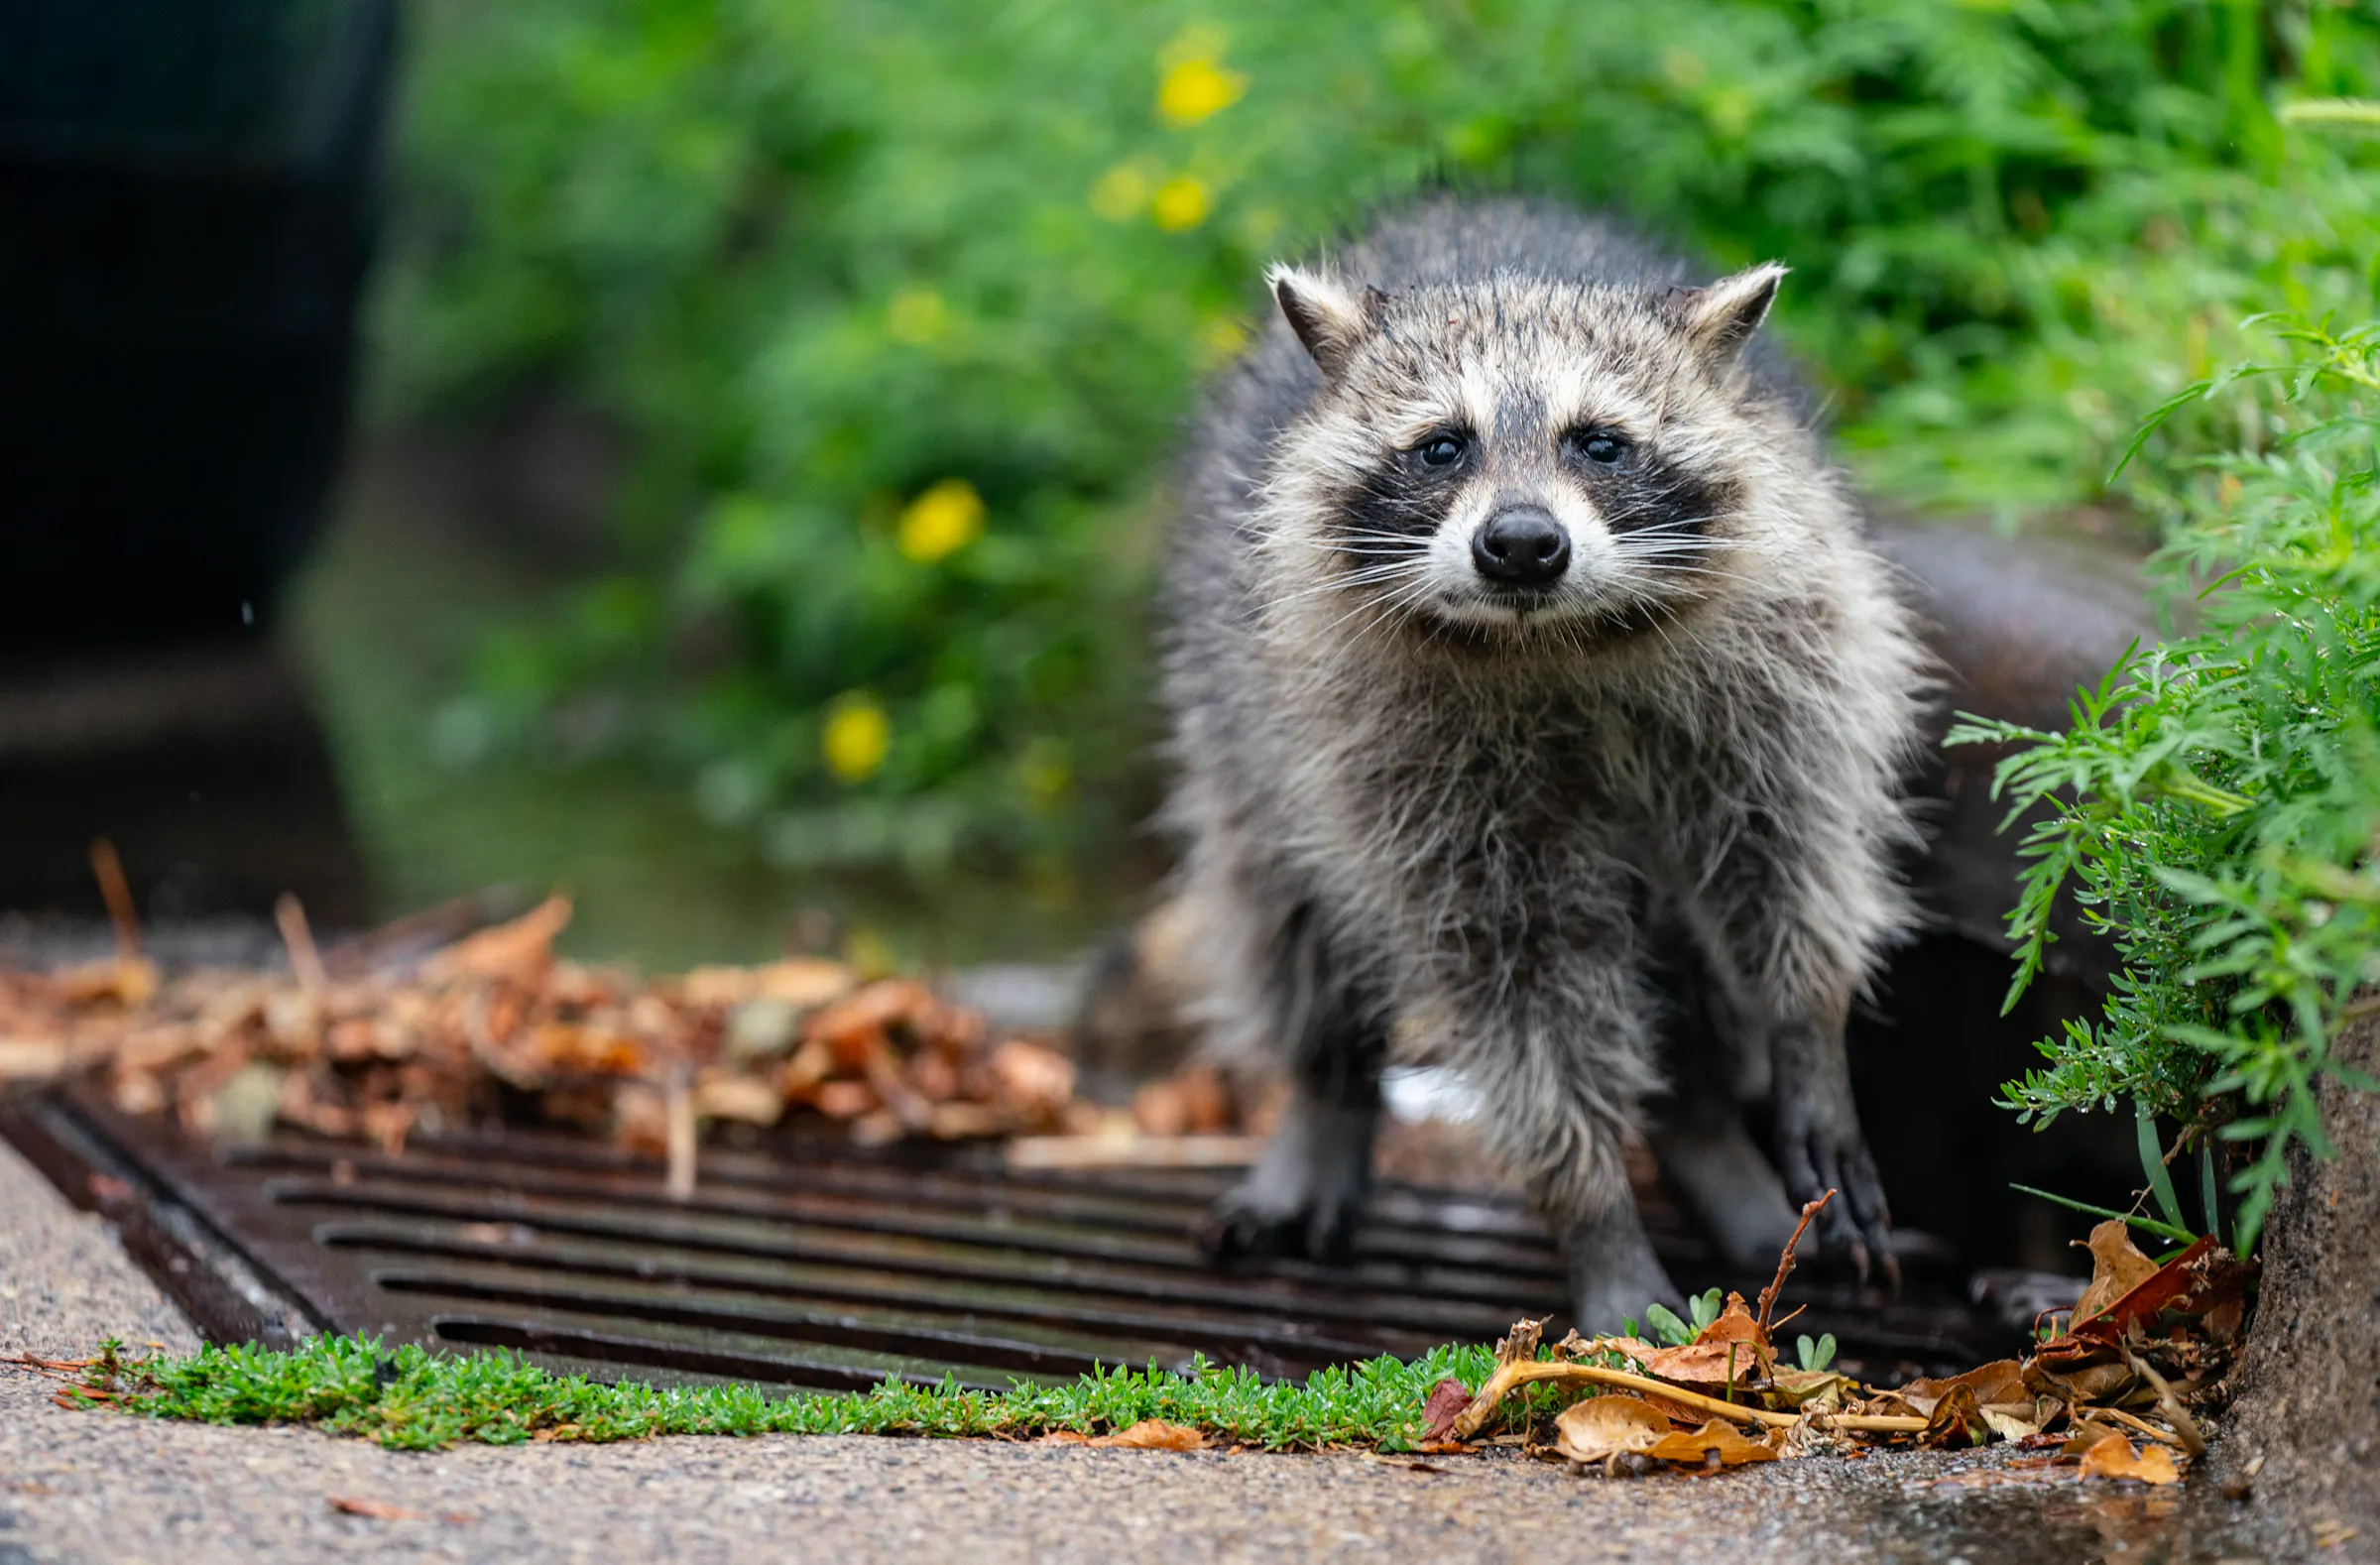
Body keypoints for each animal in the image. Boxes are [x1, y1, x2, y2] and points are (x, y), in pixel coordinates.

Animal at [1158, 197, 1930, 1329]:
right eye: (1442, 447)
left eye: (1599, 443)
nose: (1521, 543)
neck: (1553, 641)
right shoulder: (1400, 759)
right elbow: (1520, 982)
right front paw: (1593, 1206)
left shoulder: (1790, 665)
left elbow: (1790, 855)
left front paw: (1809, 1024)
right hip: (1239, 717)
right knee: (1286, 915)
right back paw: (1326, 1096)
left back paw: (1707, 1133)